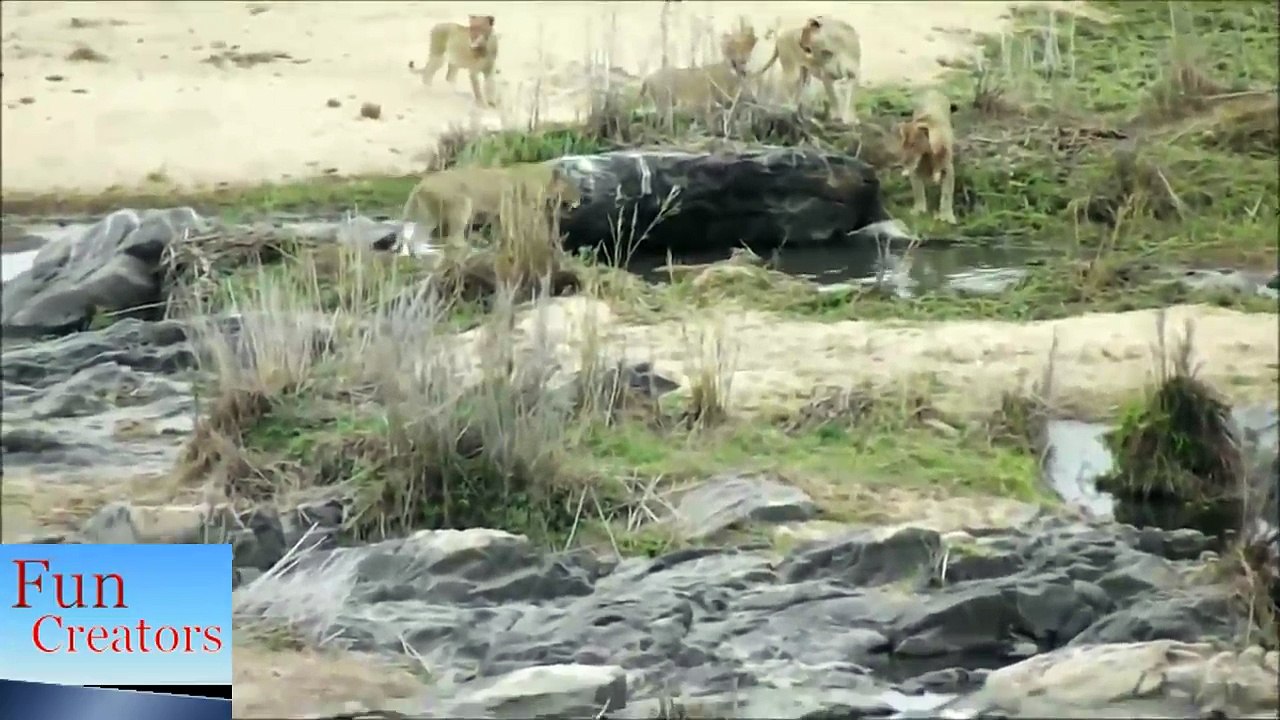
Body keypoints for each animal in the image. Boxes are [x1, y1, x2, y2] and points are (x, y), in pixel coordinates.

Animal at [400, 163, 582, 250]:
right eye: (572, 185)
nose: (580, 198)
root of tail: (422, 183)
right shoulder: (510, 206)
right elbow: (513, 227)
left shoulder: (497, 211)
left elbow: (500, 229)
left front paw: (500, 243)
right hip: (462, 203)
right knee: (453, 236)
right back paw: (467, 246)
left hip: (429, 214)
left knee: (417, 237)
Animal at [895, 89, 960, 224]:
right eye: (903, 145)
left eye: (913, 144)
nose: (903, 162)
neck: (928, 156)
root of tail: (932, 90)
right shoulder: (915, 170)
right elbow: (918, 191)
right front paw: (919, 210)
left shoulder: (948, 170)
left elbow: (947, 194)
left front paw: (947, 216)